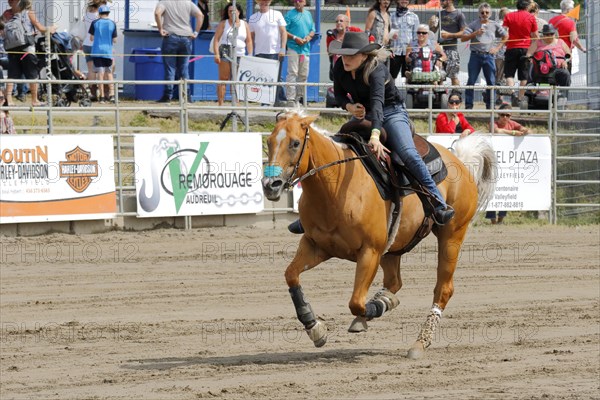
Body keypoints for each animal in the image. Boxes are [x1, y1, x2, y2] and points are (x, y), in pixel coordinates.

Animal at [262, 110, 496, 360]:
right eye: (269, 141)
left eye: (295, 143)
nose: (270, 185)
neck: (335, 187)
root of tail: (460, 161)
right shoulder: (315, 245)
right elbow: (291, 275)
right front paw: (315, 328)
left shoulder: (369, 251)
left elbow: (356, 302)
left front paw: (377, 307)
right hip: (392, 248)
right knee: (394, 281)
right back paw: (383, 302)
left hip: (451, 236)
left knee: (443, 289)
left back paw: (419, 342)